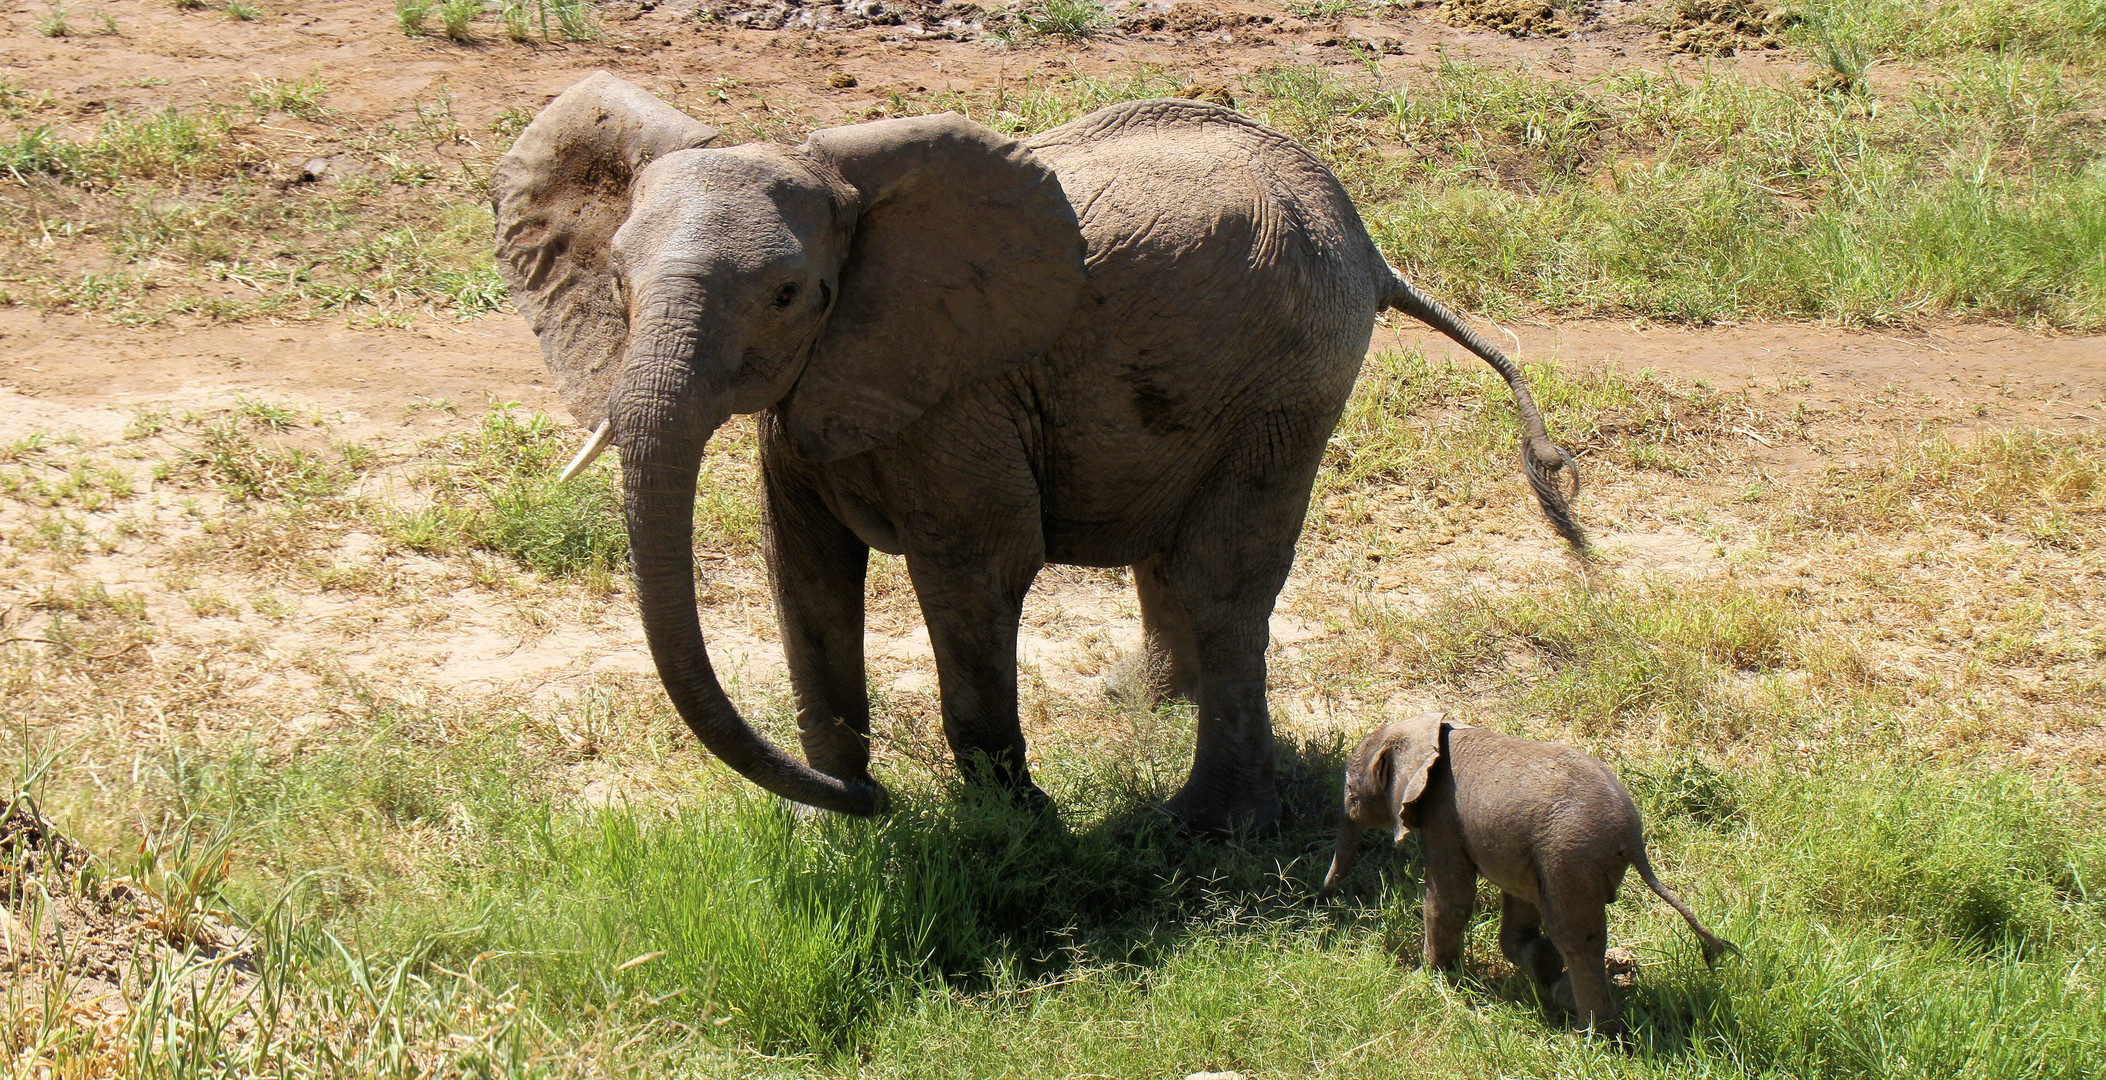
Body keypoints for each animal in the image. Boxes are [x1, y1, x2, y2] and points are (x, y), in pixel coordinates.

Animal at [492, 73, 1583, 833]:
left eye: (791, 295)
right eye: (618, 282)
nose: (882, 804)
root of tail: (1366, 239)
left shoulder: (957, 393)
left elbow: (978, 570)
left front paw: (1009, 830)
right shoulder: (817, 401)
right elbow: (802, 570)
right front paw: (825, 821)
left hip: (1294, 376)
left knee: (1225, 574)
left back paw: (1206, 825)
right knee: (1174, 556)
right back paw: (1141, 705)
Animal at [1322, 711, 1735, 1031]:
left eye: (1350, 791)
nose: (1324, 893)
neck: (1431, 730)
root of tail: (1633, 838)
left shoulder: (1443, 819)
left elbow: (1450, 900)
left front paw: (1426, 980)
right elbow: (1517, 903)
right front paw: (1539, 966)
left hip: (1569, 857)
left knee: (1577, 938)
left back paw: (1590, 1033)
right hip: (1559, 857)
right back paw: (1565, 997)